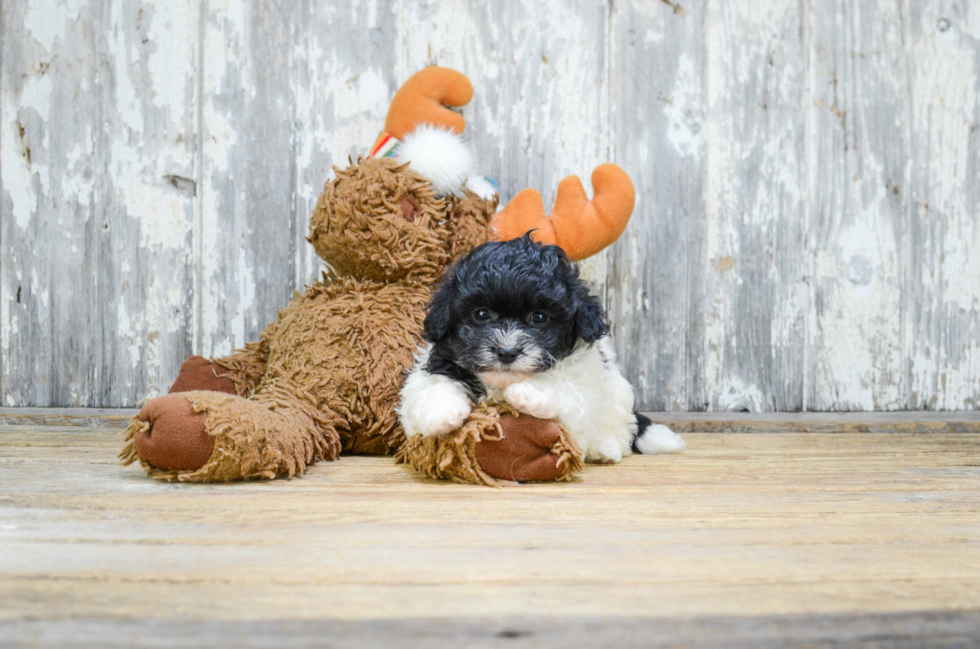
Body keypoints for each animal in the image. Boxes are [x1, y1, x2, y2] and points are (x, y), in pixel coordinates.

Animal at [396, 233, 680, 460]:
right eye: (481, 314)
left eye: (539, 318)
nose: (507, 352)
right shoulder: (437, 363)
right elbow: (433, 384)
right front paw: (441, 411)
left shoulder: (584, 381)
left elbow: (567, 391)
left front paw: (528, 393)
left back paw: (608, 449)